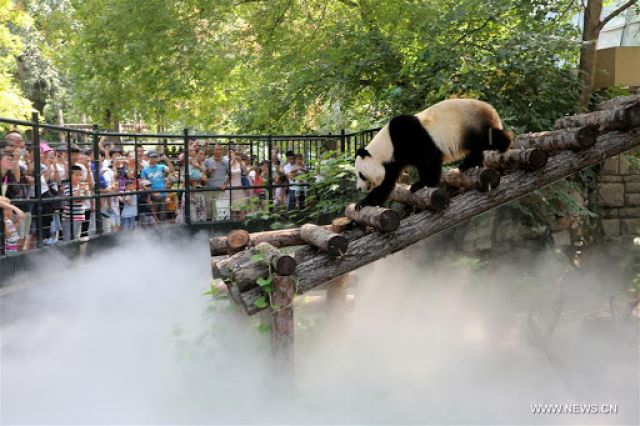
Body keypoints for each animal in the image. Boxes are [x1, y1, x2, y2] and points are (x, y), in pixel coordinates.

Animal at [356, 98, 510, 208]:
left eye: (361, 175)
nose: (358, 188)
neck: (387, 145)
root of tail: (491, 109)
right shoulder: (393, 160)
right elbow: (386, 183)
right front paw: (363, 204)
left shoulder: (407, 135)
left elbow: (430, 158)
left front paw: (422, 184)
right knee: (477, 148)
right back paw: (468, 164)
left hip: (472, 124)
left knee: (487, 139)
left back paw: (504, 144)